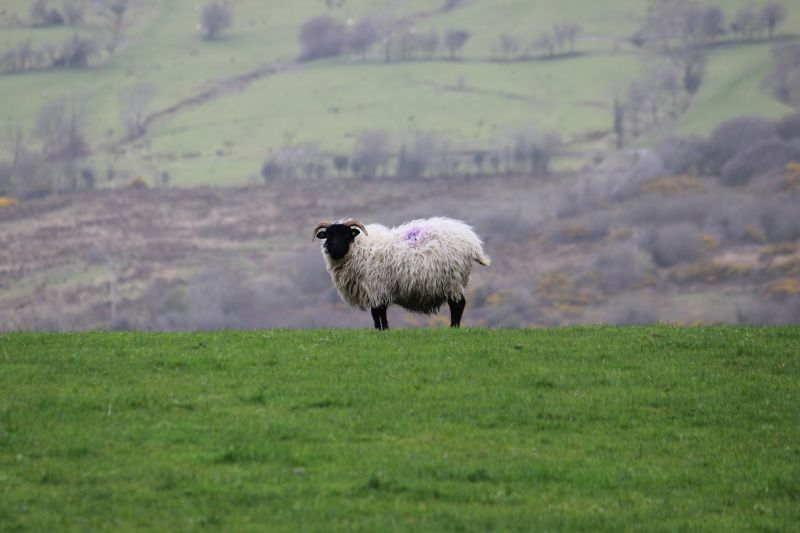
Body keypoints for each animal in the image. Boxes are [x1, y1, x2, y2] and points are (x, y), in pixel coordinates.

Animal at [312, 217, 490, 330]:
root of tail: (472, 242)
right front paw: (381, 330)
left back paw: (454, 328)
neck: (359, 248)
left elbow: (378, 313)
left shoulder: (376, 287)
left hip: (452, 279)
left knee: (458, 304)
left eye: (347, 234)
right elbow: (378, 313)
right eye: (328, 236)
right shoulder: (377, 290)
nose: (336, 248)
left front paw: (383, 331)